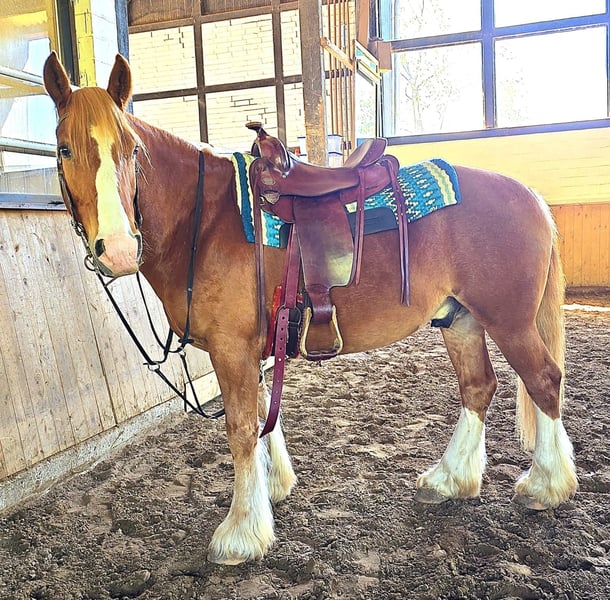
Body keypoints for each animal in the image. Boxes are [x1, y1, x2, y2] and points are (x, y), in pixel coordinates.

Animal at [43, 52, 578, 565]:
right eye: (64, 148)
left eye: (132, 149)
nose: (117, 250)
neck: (204, 220)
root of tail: (529, 196)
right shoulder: (254, 348)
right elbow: (264, 414)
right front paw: (274, 488)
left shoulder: (231, 349)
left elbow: (241, 429)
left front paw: (241, 533)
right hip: (459, 318)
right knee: (478, 387)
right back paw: (449, 480)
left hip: (509, 322)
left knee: (543, 381)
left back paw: (545, 486)